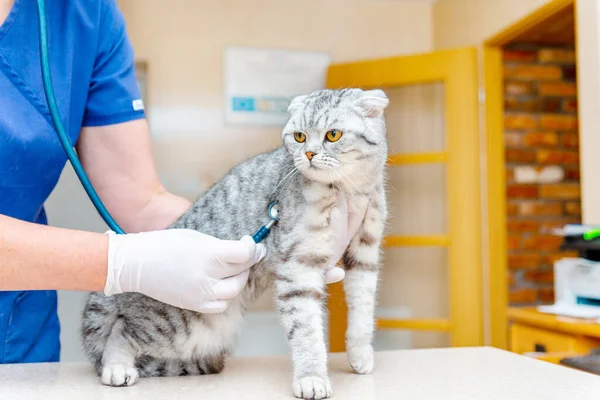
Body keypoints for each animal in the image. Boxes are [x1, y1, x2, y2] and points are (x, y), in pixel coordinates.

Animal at [81, 86, 390, 398]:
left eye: (333, 134)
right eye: (300, 136)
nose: (309, 153)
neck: (349, 191)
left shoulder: (365, 252)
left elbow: (363, 307)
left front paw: (360, 352)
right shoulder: (297, 266)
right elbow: (306, 331)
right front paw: (311, 376)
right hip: (176, 325)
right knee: (121, 328)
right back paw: (117, 366)